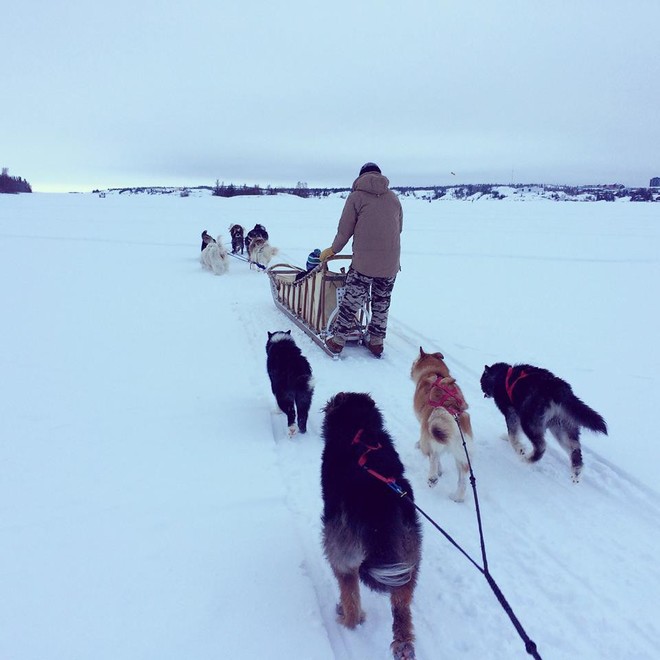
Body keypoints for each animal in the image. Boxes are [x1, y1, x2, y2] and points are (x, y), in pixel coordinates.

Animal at [320, 392, 422, 660]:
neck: (359, 430)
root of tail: (377, 502)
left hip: (340, 549)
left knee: (351, 595)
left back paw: (347, 617)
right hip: (408, 554)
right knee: (401, 604)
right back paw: (403, 646)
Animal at [410, 350, 472, 500]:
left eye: (414, 361)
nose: (411, 368)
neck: (435, 372)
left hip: (431, 439)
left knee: (433, 457)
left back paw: (433, 477)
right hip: (462, 454)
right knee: (462, 480)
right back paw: (457, 497)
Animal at [480, 360, 608, 480]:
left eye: (482, 382)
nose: (483, 392)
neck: (502, 375)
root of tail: (558, 388)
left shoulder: (511, 413)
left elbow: (513, 435)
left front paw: (519, 448)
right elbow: (514, 433)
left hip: (529, 422)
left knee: (541, 446)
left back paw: (528, 459)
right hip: (561, 427)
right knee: (575, 449)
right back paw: (577, 472)